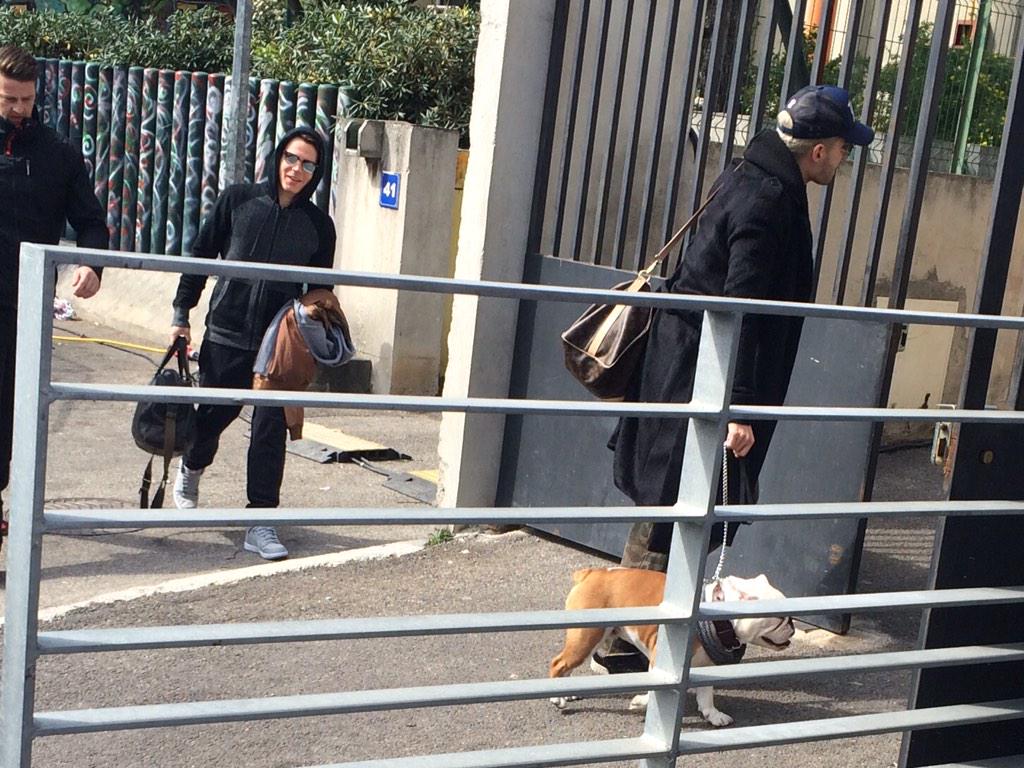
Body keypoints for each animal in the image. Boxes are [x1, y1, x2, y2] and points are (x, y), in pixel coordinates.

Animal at [548, 568, 795, 726]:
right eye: (780, 619)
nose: (792, 626)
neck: (717, 618)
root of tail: (593, 572)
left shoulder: (707, 665)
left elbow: (706, 695)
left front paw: (713, 715)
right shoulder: (661, 663)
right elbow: (655, 691)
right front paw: (640, 702)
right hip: (586, 638)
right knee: (559, 663)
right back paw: (557, 698)